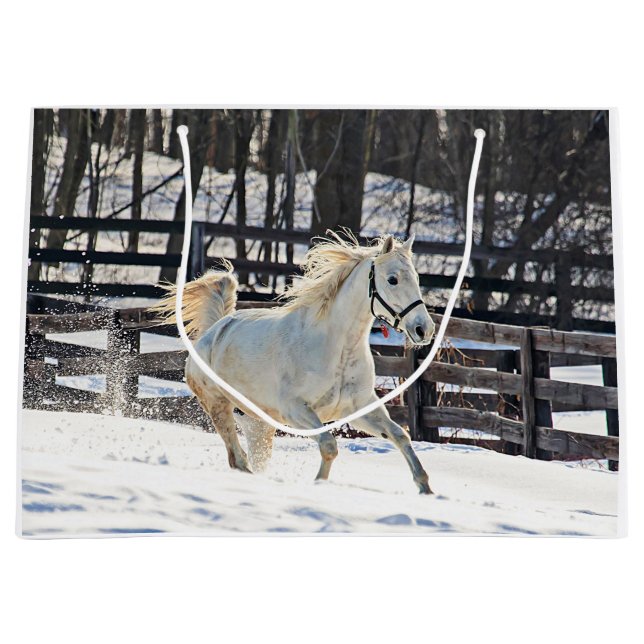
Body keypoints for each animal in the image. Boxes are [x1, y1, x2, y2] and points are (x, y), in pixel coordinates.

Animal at [152, 232, 436, 494]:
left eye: (417, 278)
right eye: (392, 279)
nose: (424, 329)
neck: (338, 350)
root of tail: (214, 330)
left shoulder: (360, 409)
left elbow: (400, 435)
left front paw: (426, 489)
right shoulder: (296, 410)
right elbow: (329, 445)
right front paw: (318, 484)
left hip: (259, 422)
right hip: (218, 406)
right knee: (237, 458)